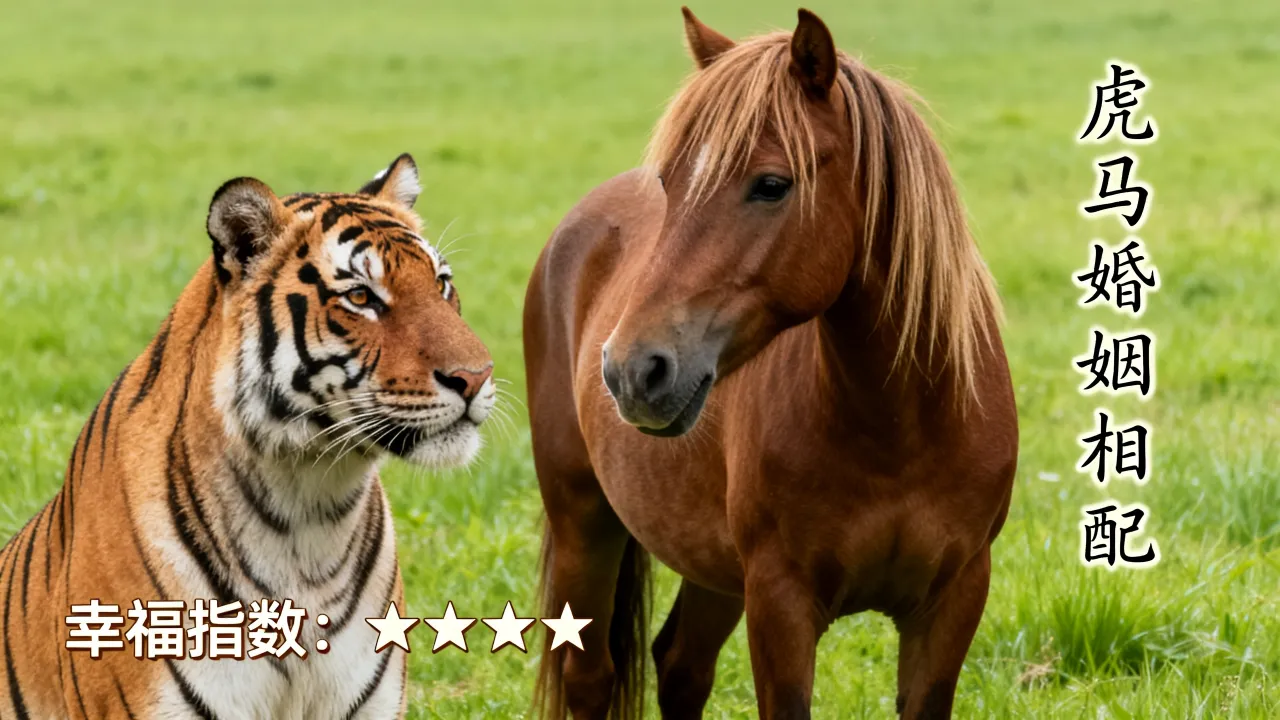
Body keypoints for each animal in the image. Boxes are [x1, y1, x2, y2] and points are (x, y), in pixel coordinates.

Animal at [522, 8, 1017, 719]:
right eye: (670, 184)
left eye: (772, 185)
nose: (630, 370)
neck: (899, 429)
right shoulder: (780, 604)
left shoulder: (953, 600)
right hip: (582, 523)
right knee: (589, 679)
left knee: (681, 665)